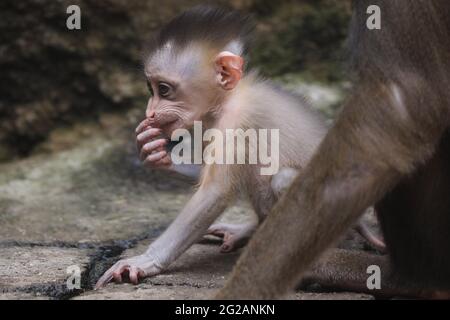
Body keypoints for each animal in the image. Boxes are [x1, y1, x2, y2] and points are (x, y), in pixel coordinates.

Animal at [95, 6, 384, 288]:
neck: (226, 100)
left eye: (164, 90)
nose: (150, 112)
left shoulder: (237, 121)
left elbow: (215, 191)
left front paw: (146, 261)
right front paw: (157, 156)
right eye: (151, 89)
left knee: (282, 179)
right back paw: (250, 231)